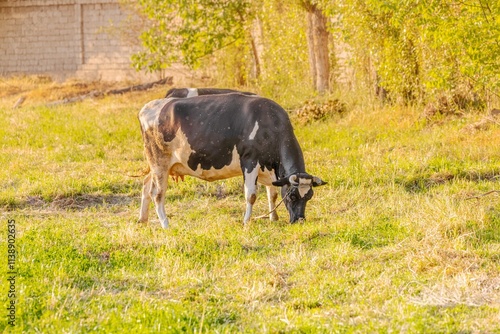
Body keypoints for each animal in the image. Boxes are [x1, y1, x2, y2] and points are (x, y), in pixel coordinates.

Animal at [138, 92, 324, 228]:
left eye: (309, 196)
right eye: (292, 196)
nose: (300, 220)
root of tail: (149, 106)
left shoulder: (269, 168)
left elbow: (273, 194)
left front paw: (274, 218)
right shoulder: (250, 160)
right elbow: (251, 195)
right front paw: (246, 222)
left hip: (157, 166)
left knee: (146, 185)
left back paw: (143, 220)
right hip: (159, 163)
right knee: (157, 194)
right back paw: (165, 225)